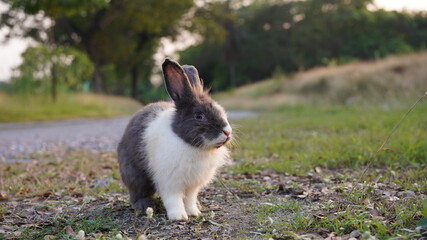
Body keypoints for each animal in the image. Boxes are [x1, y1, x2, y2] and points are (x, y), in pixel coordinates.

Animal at [117, 57, 234, 219]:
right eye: (199, 116)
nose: (227, 132)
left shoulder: (192, 186)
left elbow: (190, 199)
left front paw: (194, 213)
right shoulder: (170, 182)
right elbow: (173, 200)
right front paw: (179, 217)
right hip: (135, 175)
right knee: (138, 193)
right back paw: (145, 206)